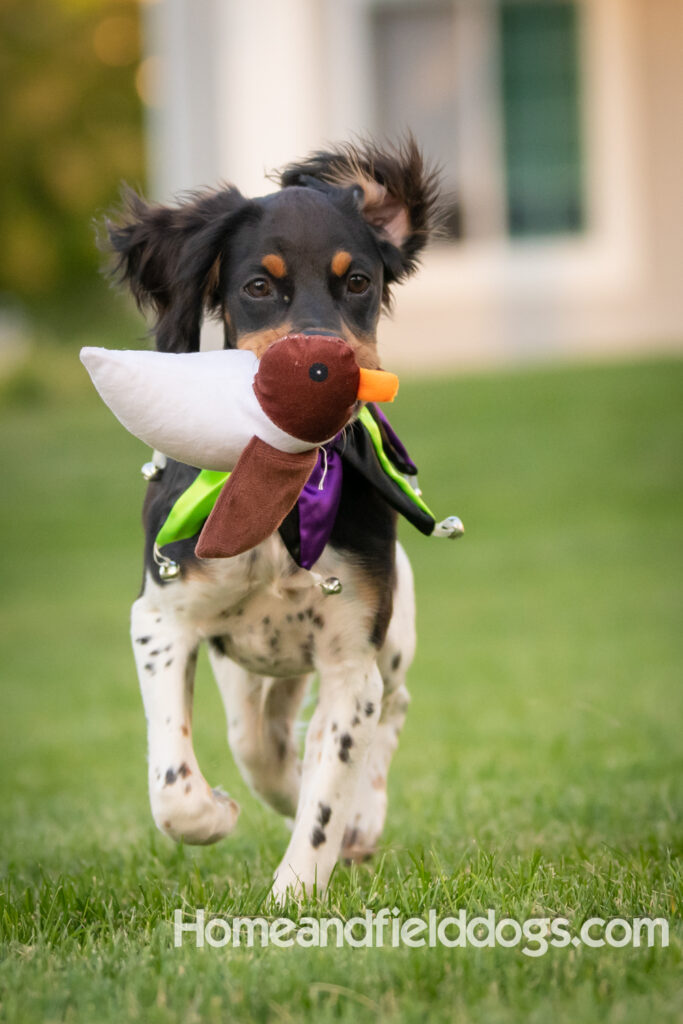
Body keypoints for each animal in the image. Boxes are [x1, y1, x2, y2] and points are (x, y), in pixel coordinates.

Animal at [107, 140, 438, 901]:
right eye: (259, 286)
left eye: (359, 282)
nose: (324, 367)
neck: (285, 484)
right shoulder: (161, 617)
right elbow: (174, 787)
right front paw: (212, 814)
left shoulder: (351, 659)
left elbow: (326, 800)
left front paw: (295, 894)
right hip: (247, 663)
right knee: (259, 736)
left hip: (392, 635)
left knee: (389, 710)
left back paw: (361, 817)